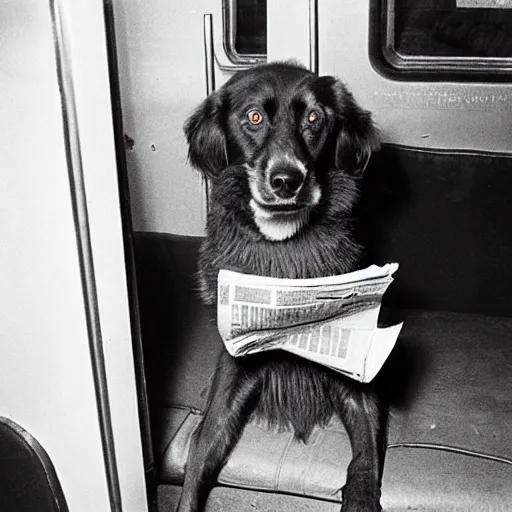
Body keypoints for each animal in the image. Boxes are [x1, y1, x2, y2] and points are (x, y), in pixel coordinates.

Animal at [179, 62, 384, 510]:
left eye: (314, 118)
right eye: (254, 117)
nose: (287, 180)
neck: (284, 245)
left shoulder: (354, 365)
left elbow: (365, 458)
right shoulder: (235, 363)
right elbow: (202, 448)